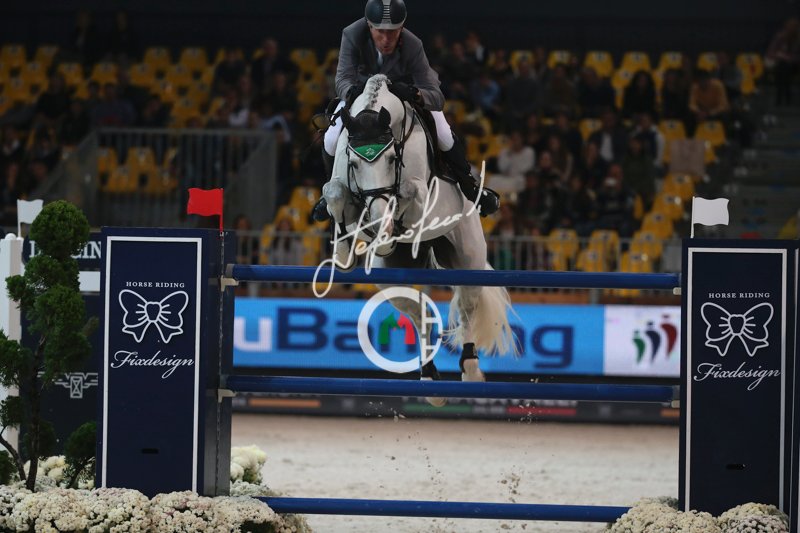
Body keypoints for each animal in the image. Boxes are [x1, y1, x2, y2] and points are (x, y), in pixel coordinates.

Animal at [322, 74, 514, 404]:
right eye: (355, 163)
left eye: (390, 158)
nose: (379, 220)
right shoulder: (343, 184)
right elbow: (333, 191)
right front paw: (347, 250)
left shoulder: (421, 195)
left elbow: (411, 189)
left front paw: (389, 229)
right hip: (392, 279)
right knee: (419, 314)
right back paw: (428, 377)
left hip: (468, 258)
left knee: (467, 308)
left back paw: (470, 369)